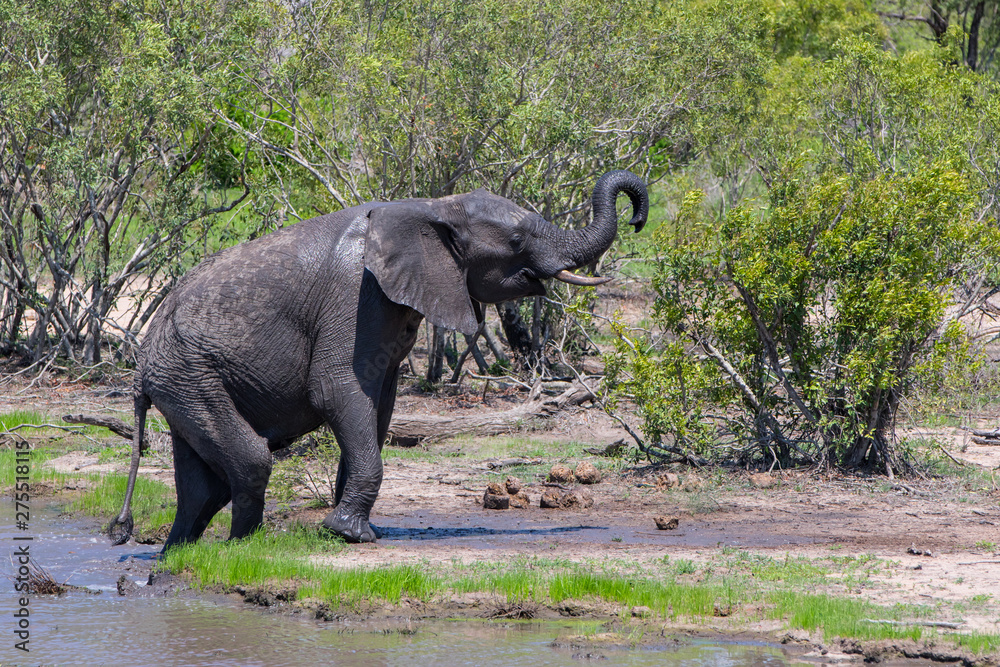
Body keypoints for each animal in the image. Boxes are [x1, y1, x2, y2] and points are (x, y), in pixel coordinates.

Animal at [108, 170, 647, 549]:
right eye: (516, 243)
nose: (639, 218)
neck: (431, 207)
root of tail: (140, 362)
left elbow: (378, 407)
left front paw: (351, 528)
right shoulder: (356, 295)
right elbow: (337, 390)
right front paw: (348, 534)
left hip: (184, 380)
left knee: (203, 482)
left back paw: (179, 555)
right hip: (189, 371)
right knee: (251, 462)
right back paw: (241, 548)